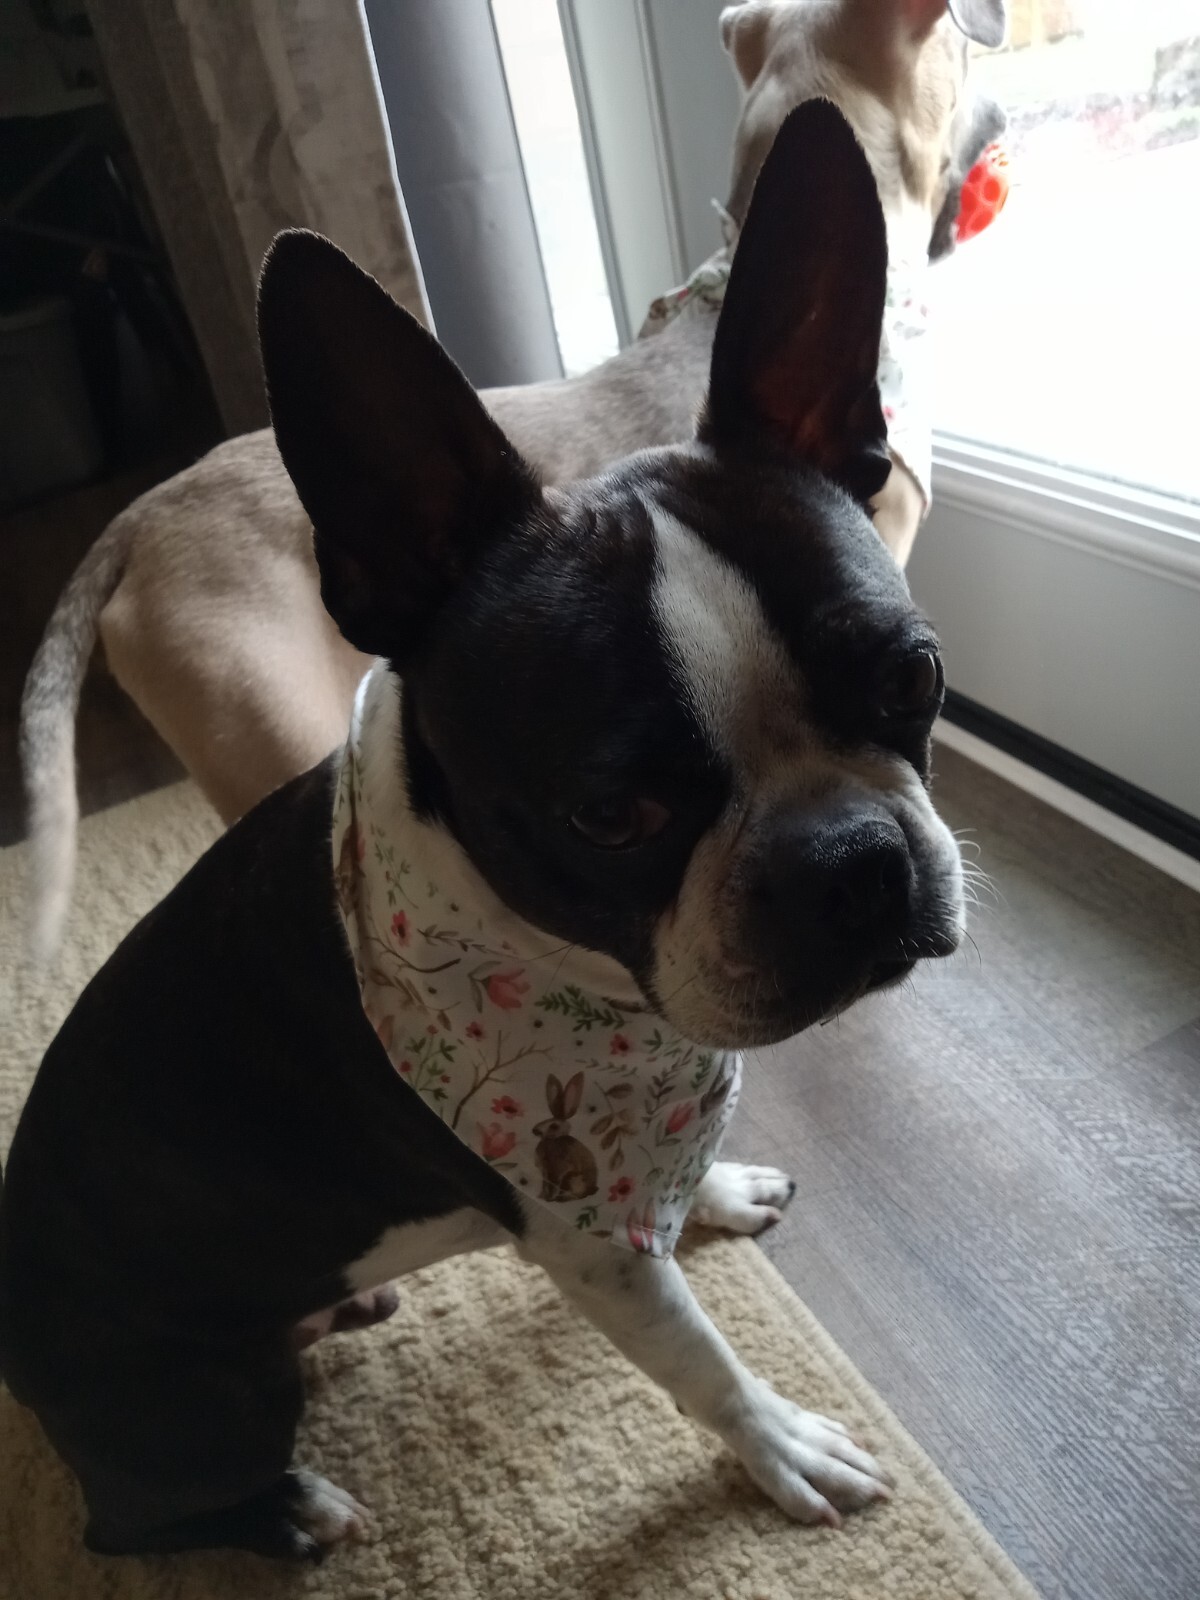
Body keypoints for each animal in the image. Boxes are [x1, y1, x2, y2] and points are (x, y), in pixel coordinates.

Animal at [533, 1072, 599, 1203]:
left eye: (553, 1126)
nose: (534, 1130)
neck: (553, 1139)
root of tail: (592, 1189)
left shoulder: (556, 1170)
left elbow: (551, 1185)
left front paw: (547, 1198)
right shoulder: (545, 1172)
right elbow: (544, 1185)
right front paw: (541, 1196)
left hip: (570, 1179)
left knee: (574, 1195)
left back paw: (559, 1199)